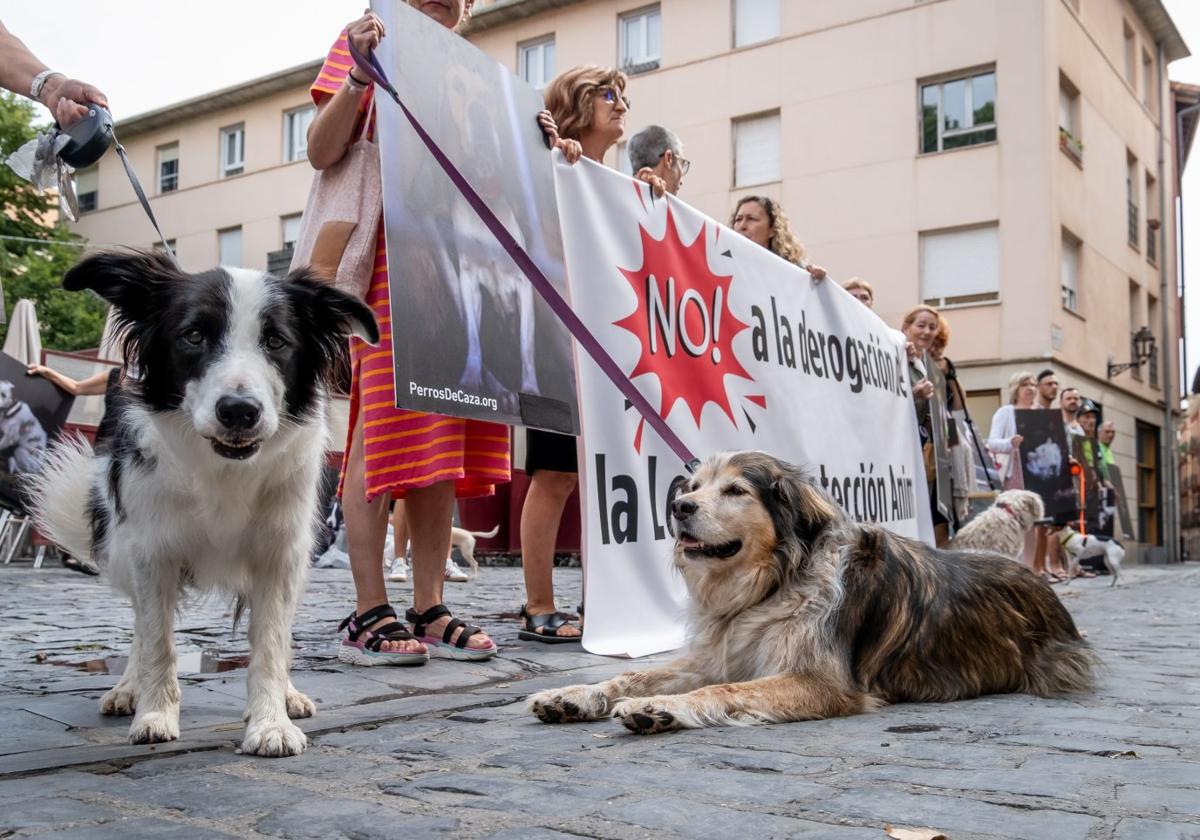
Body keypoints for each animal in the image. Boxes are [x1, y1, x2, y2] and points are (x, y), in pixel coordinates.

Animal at [530, 453, 1094, 734]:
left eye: (735, 490)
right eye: (692, 486)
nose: (679, 507)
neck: (772, 583)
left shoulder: (821, 681)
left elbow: (723, 690)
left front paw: (661, 707)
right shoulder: (721, 654)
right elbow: (633, 673)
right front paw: (572, 695)